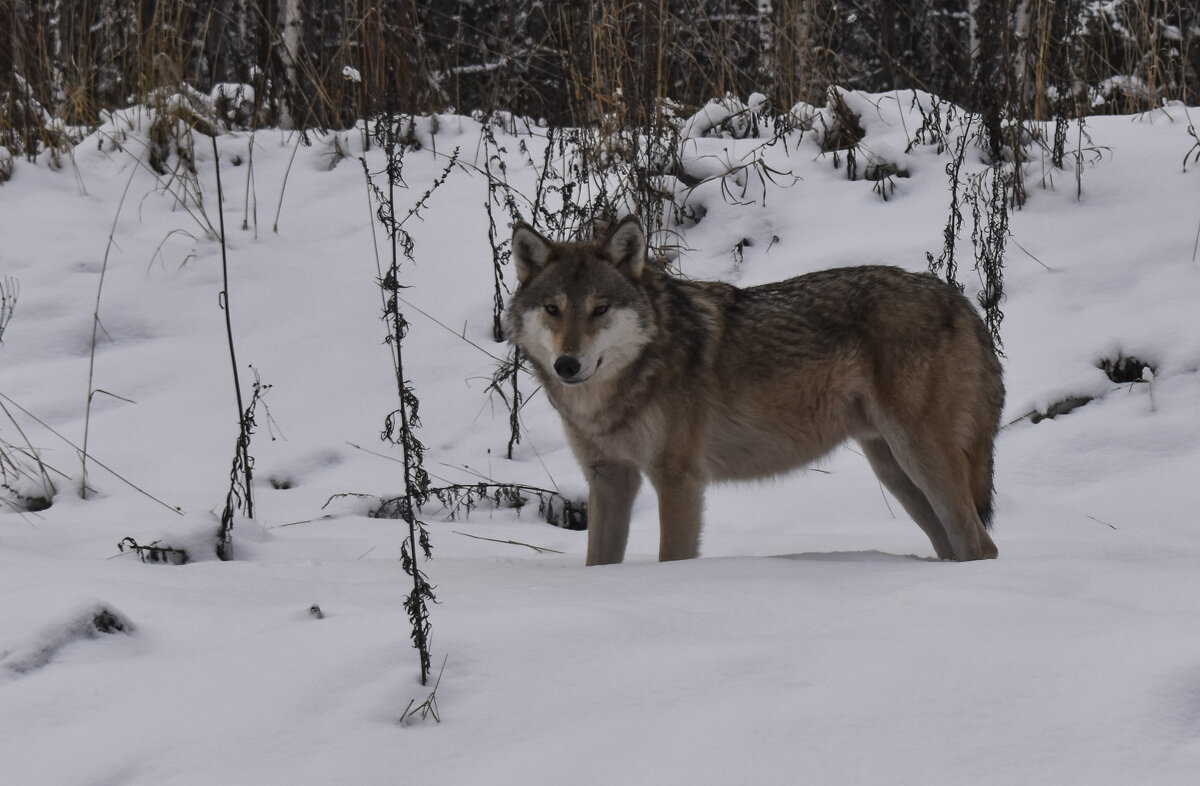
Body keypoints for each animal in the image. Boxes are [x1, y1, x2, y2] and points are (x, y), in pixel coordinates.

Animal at [506, 214, 1003, 566]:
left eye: (600, 309)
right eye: (553, 309)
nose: (567, 365)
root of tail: (958, 299)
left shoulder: (678, 479)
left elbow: (672, 558)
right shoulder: (609, 477)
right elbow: (597, 564)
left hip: (920, 459)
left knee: (981, 545)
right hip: (894, 470)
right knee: (956, 545)